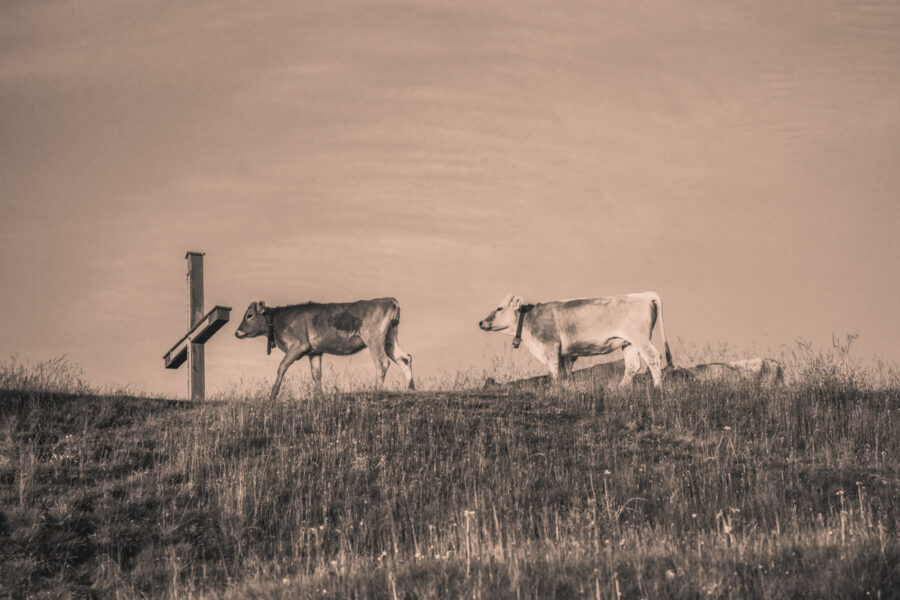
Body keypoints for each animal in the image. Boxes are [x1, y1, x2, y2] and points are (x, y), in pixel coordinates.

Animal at [234, 298, 414, 400]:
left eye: (249, 315)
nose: (237, 332)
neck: (280, 320)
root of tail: (388, 299)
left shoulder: (298, 345)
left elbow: (282, 367)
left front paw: (272, 395)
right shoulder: (315, 352)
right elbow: (317, 374)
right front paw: (319, 396)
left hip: (374, 338)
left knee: (382, 362)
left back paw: (376, 390)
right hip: (389, 339)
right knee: (405, 358)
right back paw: (411, 388)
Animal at [482, 292, 672, 386]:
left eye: (499, 308)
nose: (481, 322)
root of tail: (643, 294)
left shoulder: (551, 348)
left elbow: (554, 373)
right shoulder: (567, 355)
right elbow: (565, 374)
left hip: (641, 339)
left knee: (653, 359)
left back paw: (657, 388)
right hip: (629, 342)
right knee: (632, 366)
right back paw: (620, 389)